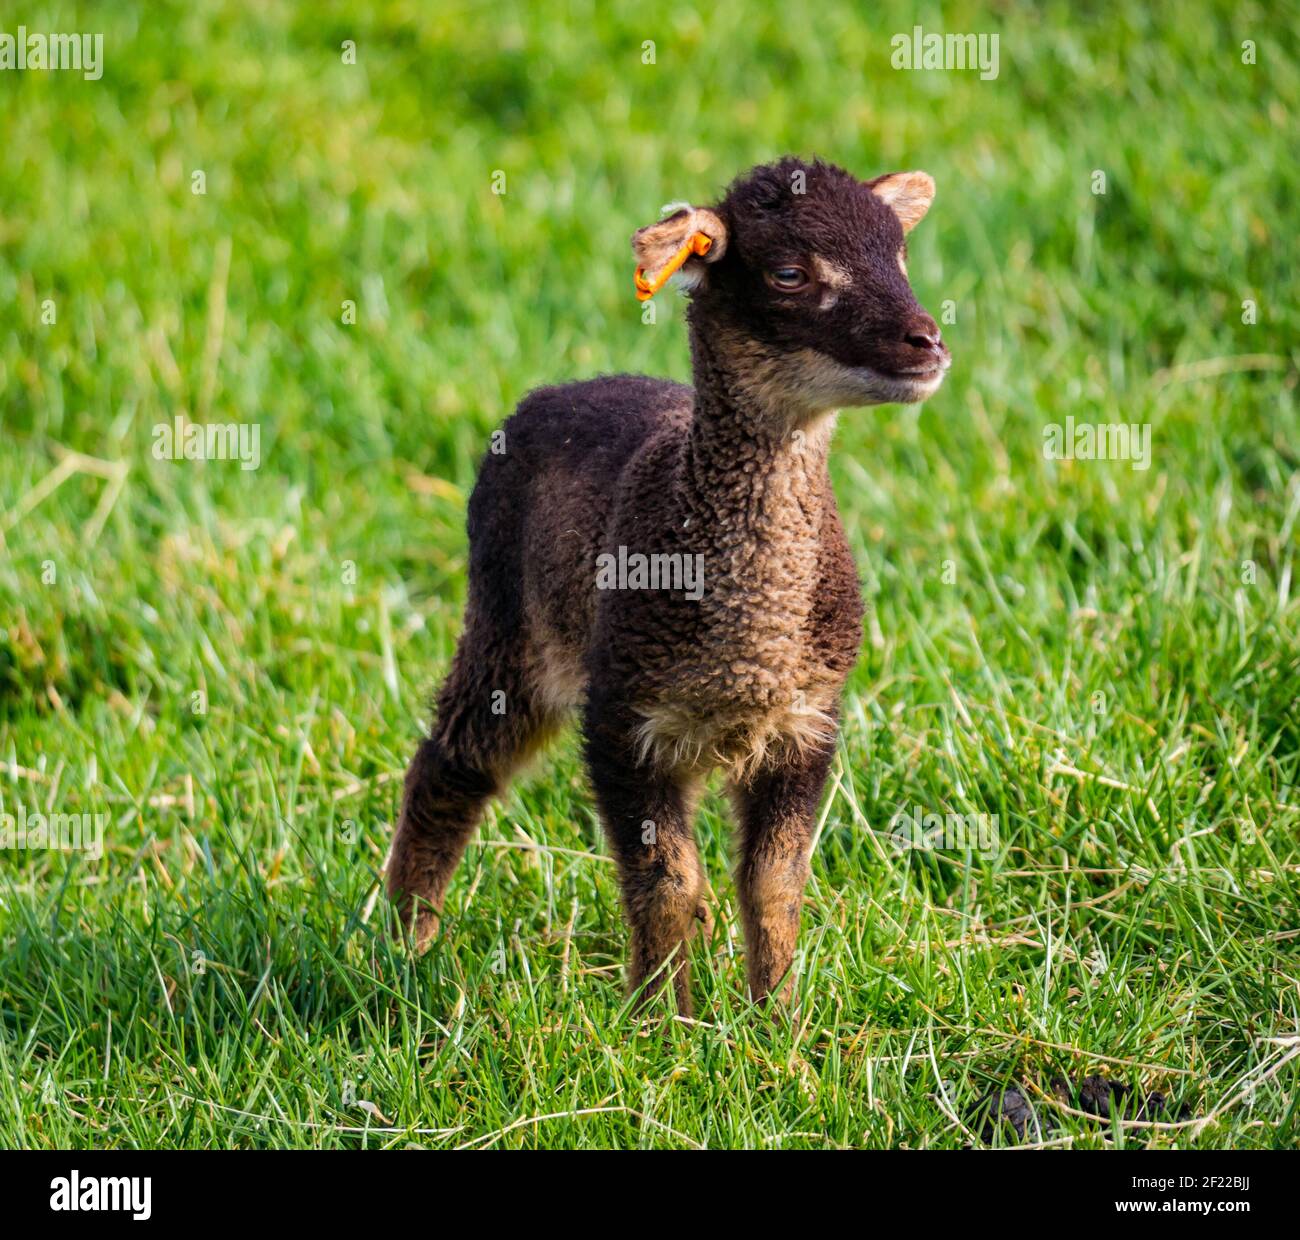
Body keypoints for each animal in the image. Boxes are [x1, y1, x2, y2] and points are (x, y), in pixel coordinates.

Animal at [379, 157, 951, 1013]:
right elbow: (664, 884)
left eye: (901, 255)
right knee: (450, 765)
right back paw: (405, 945)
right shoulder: (624, 721)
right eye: (788, 273)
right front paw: (661, 1024)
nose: (928, 342)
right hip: (508, 634)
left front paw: (777, 1021)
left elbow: (772, 885)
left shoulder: (806, 722)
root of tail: (554, 392)